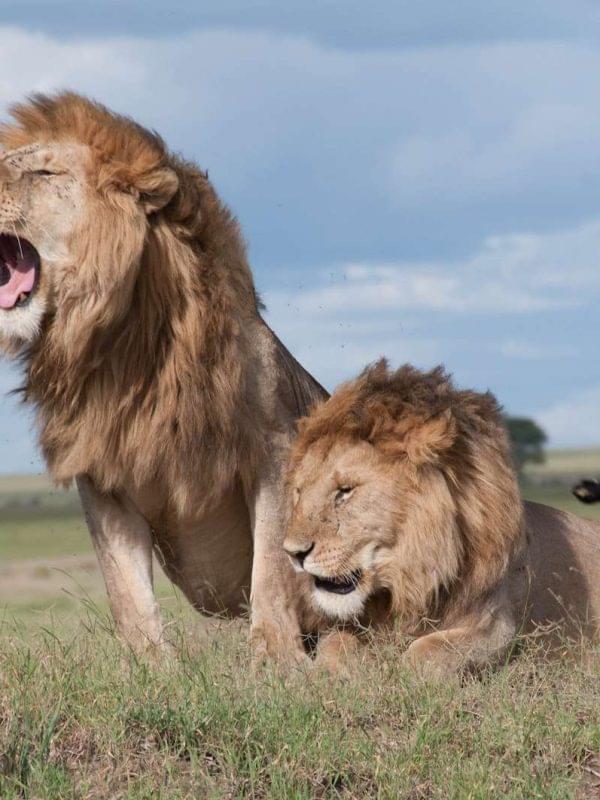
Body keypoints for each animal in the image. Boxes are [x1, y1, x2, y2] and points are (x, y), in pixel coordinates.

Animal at [0, 92, 327, 663]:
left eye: (43, 172)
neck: (123, 349)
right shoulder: (102, 475)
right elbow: (126, 591)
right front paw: (151, 668)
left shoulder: (274, 449)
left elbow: (271, 570)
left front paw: (276, 662)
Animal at [284, 361, 600, 674]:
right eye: (299, 491)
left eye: (345, 491)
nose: (292, 553)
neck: (411, 576)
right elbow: (335, 644)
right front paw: (334, 674)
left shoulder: (499, 628)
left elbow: (425, 650)